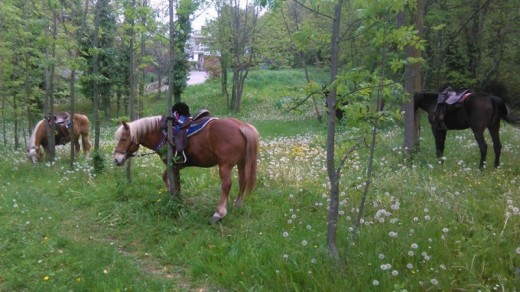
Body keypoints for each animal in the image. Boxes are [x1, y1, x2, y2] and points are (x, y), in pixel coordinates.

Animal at [114, 114, 260, 224]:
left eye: (123, 139)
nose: (116, 159)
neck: (164, 134)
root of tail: (241, 126)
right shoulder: (175, 166)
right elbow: (168, 178)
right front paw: (175, 196)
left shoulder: (173, 165)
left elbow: (173, 180)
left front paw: (175, 198)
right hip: (241, 162)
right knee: (242, 181)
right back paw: (238, 204)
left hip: (225, 166)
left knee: (226, 185)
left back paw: (219, 213)